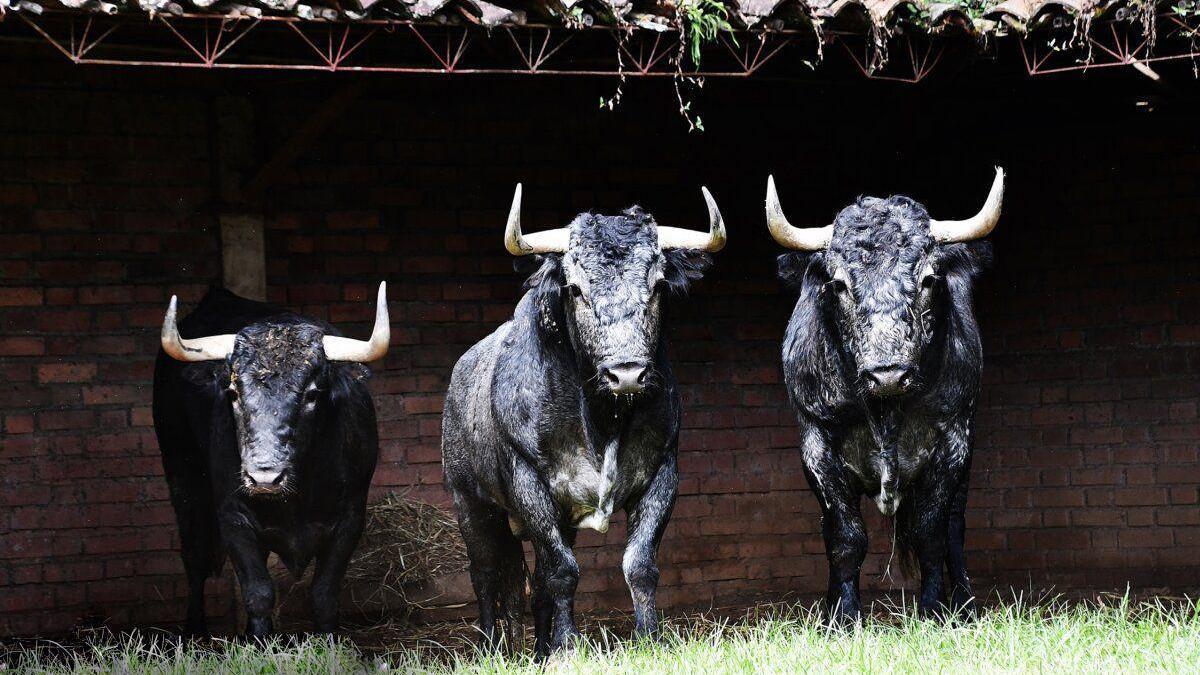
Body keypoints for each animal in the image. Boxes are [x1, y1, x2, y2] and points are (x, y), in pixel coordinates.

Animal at [148, 282, 384, 629]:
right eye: (233, 393)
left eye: (312, 394)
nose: (264, 477)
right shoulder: (234, 518)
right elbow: (259, 595)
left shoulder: (350, 520)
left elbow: (324, 597)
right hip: (180, 469)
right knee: (194, 555)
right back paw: (194, 630)